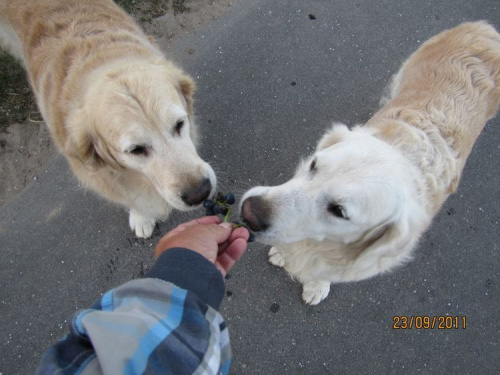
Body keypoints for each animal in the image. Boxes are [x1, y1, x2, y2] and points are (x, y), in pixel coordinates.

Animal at [0, 0, 215, 238]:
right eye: (136, 150)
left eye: (179, 124)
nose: (200, 192)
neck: (101, 57)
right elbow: (130, 197)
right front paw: (141, 217)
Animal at [240, 21, 498, 306]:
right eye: (314, 164)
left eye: (339, 211)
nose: (249, 212)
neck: (407, 155)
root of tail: (484, 28)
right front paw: (283, 254)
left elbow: (325, 271)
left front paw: (316, 284)